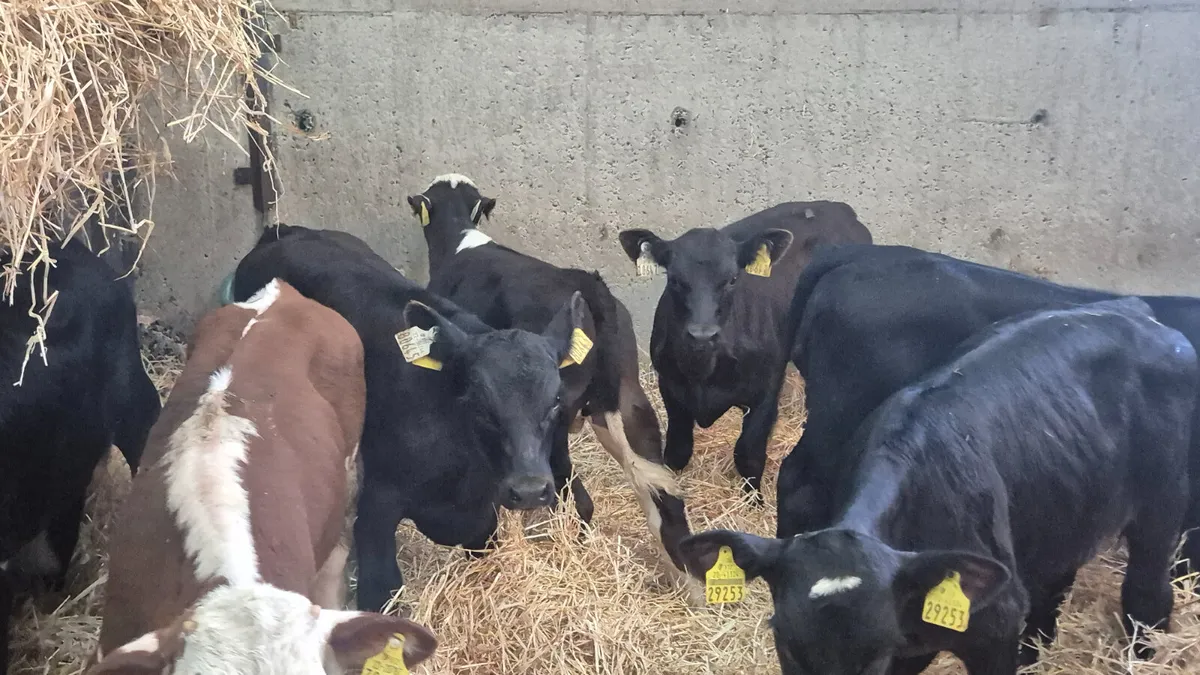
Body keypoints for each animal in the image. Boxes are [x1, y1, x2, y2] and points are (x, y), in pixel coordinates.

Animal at [221, 224, 608, 611]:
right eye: (478, 401)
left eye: (556, 400)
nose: (529, 490)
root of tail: (286, 231)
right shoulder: (375, 509)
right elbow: (381, 592)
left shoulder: (482, 517)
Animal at [407, 173, 695, 594]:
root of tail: (591, 290)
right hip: (628, 401)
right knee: (662, 493)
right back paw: (689, 587)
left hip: (557, 422)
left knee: (572, 495)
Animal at [616, 202, 871, 501]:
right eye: (675, 280)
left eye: (732, 279)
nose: (702, 333)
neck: (704, 371)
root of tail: (835, 208)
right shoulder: (670, 386)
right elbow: (677, 450)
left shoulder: (766, 394)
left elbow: (748, 454)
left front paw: (754, 501)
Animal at [682, 297, 1197, 675]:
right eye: (787, 646)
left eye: (873, 656)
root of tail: (1140, 314)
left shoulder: (993, 630)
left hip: (1163, 505)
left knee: (1147, 592)